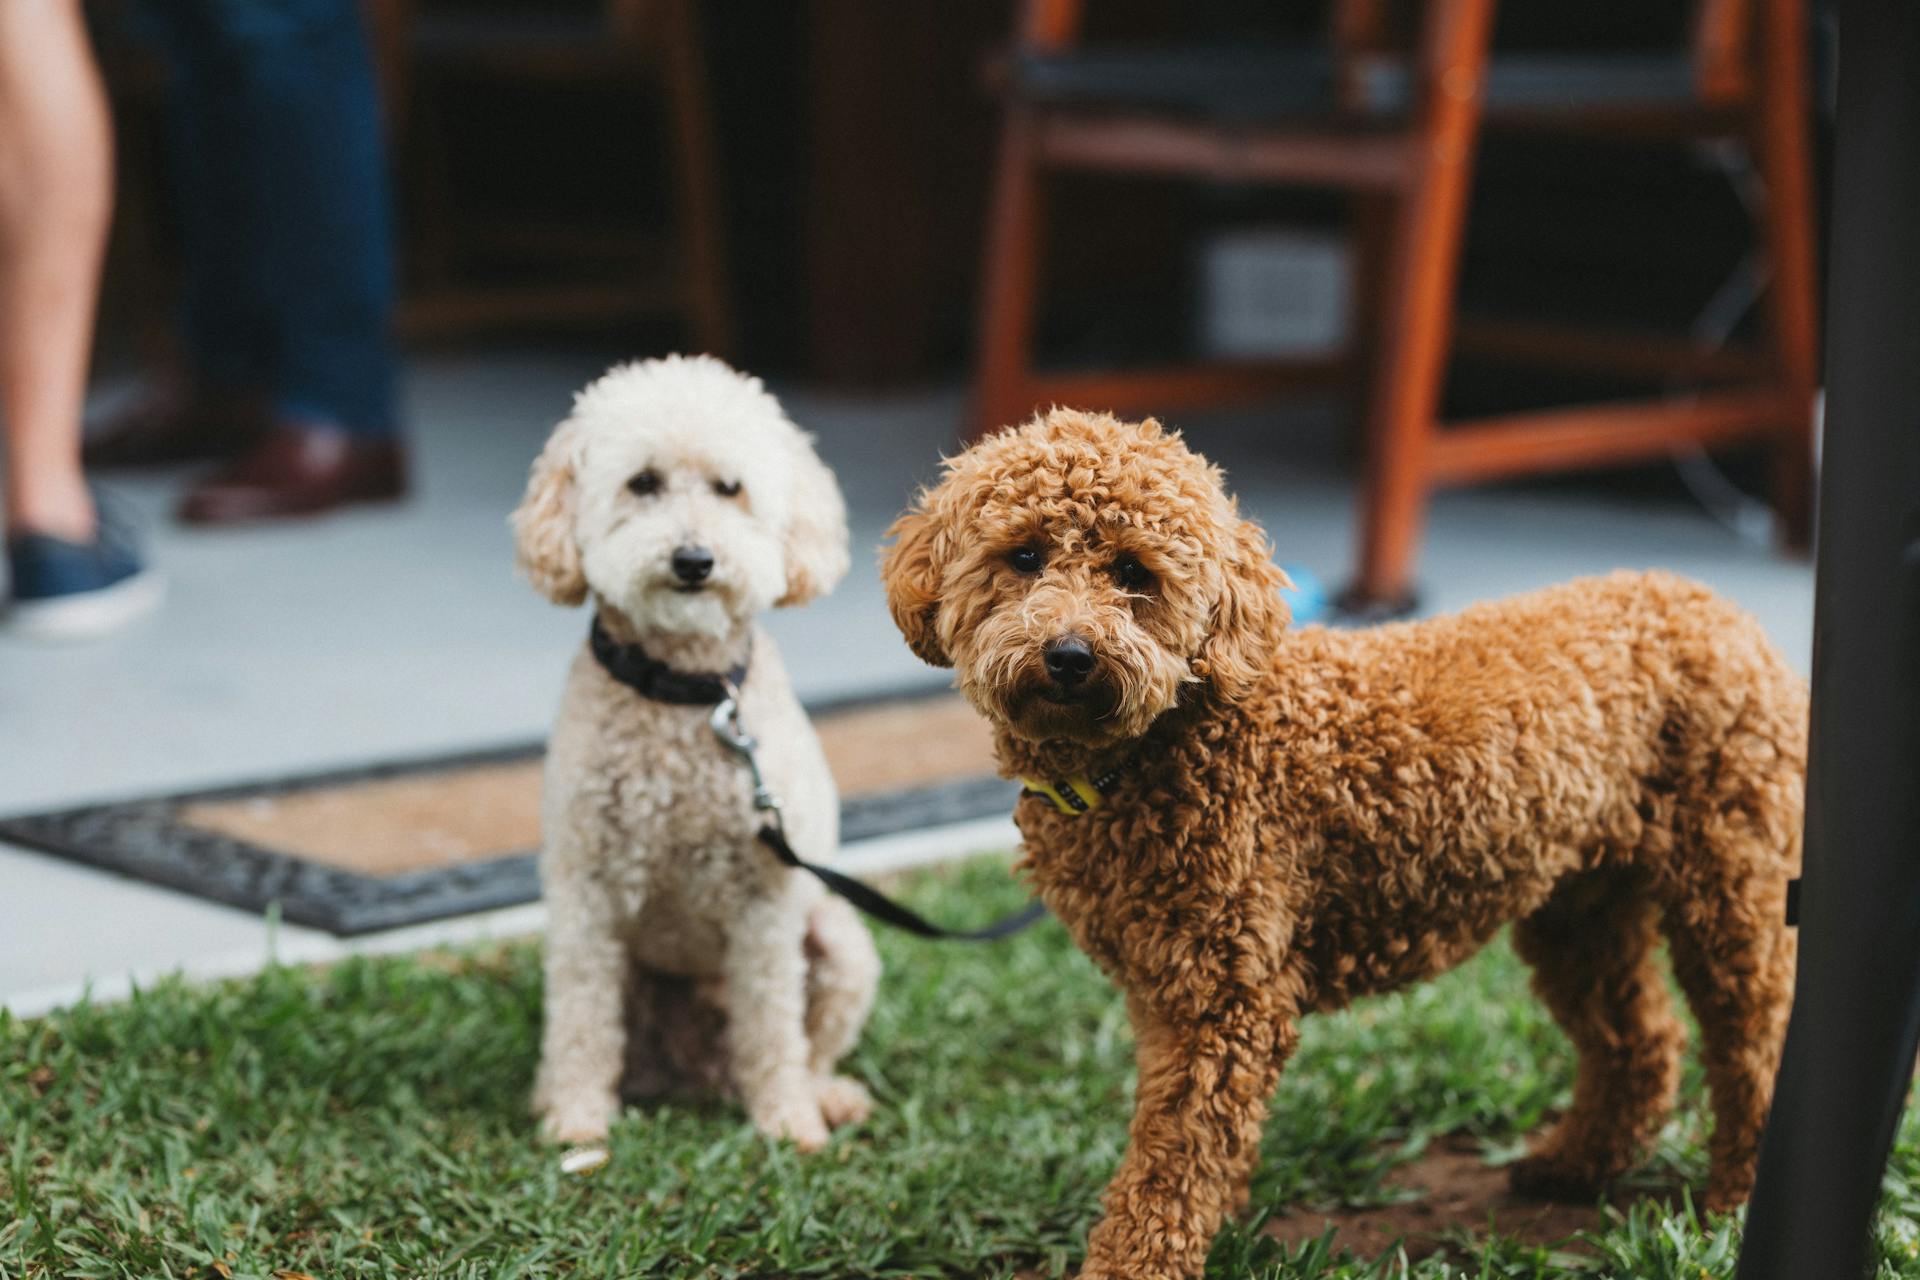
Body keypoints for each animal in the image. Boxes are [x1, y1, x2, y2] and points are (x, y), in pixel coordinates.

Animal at [506, 355, 875, 1159]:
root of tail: (697, 1073)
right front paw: (575, 1119)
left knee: (807, 1045)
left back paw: (824, 1095)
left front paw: (787, 1120)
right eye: (642, 482)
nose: (694, 560)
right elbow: (580, 1021)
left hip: (838, 938)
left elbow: (772, 1025)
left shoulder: (766, 905)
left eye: (729, 487)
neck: (684, 694)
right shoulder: (584, 895)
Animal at [879, 410, 1804, 1280]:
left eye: (1135, 574)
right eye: (1024, 556)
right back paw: (1577, 1165)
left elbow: (1171, 1167)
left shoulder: (1222, 1003)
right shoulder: (1164, 986)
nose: (1069, 655)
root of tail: (1729, 614)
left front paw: (1131, 1266)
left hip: (1732, 882)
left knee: (1756, 1037)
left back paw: (1735, 1200)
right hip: (1582, 902)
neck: (1165, 742)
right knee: (1639, 1039)